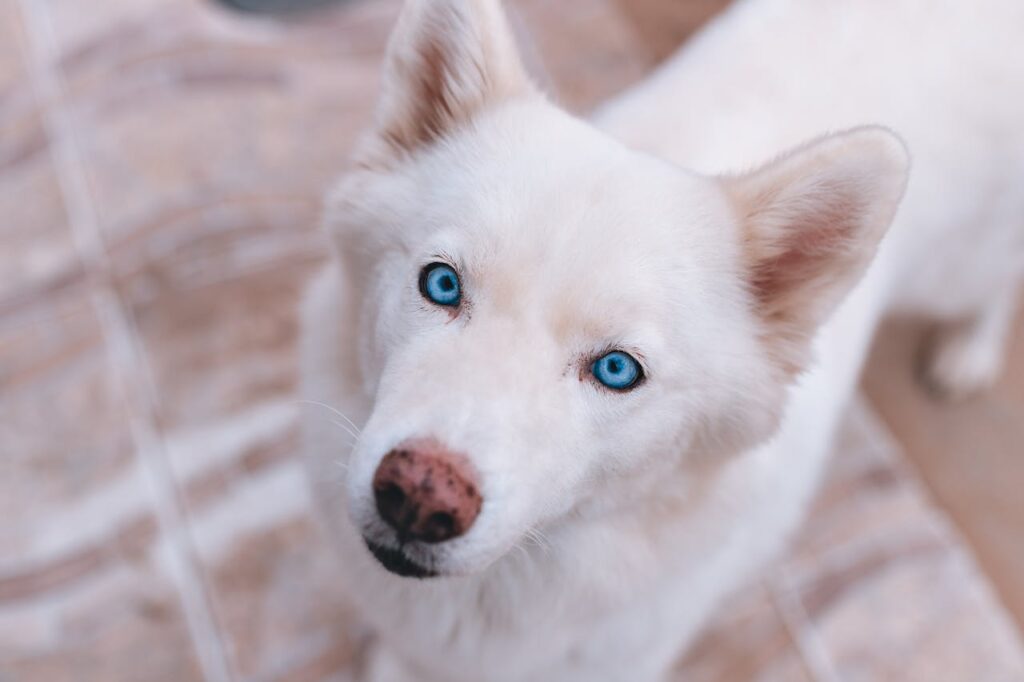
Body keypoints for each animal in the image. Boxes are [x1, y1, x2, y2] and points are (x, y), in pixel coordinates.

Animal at [299, 1, 1019, 675]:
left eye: (617, 370)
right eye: (443, 284)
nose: (421, 497)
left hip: (958, 273)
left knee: (996, 290)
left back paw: (967, 354)